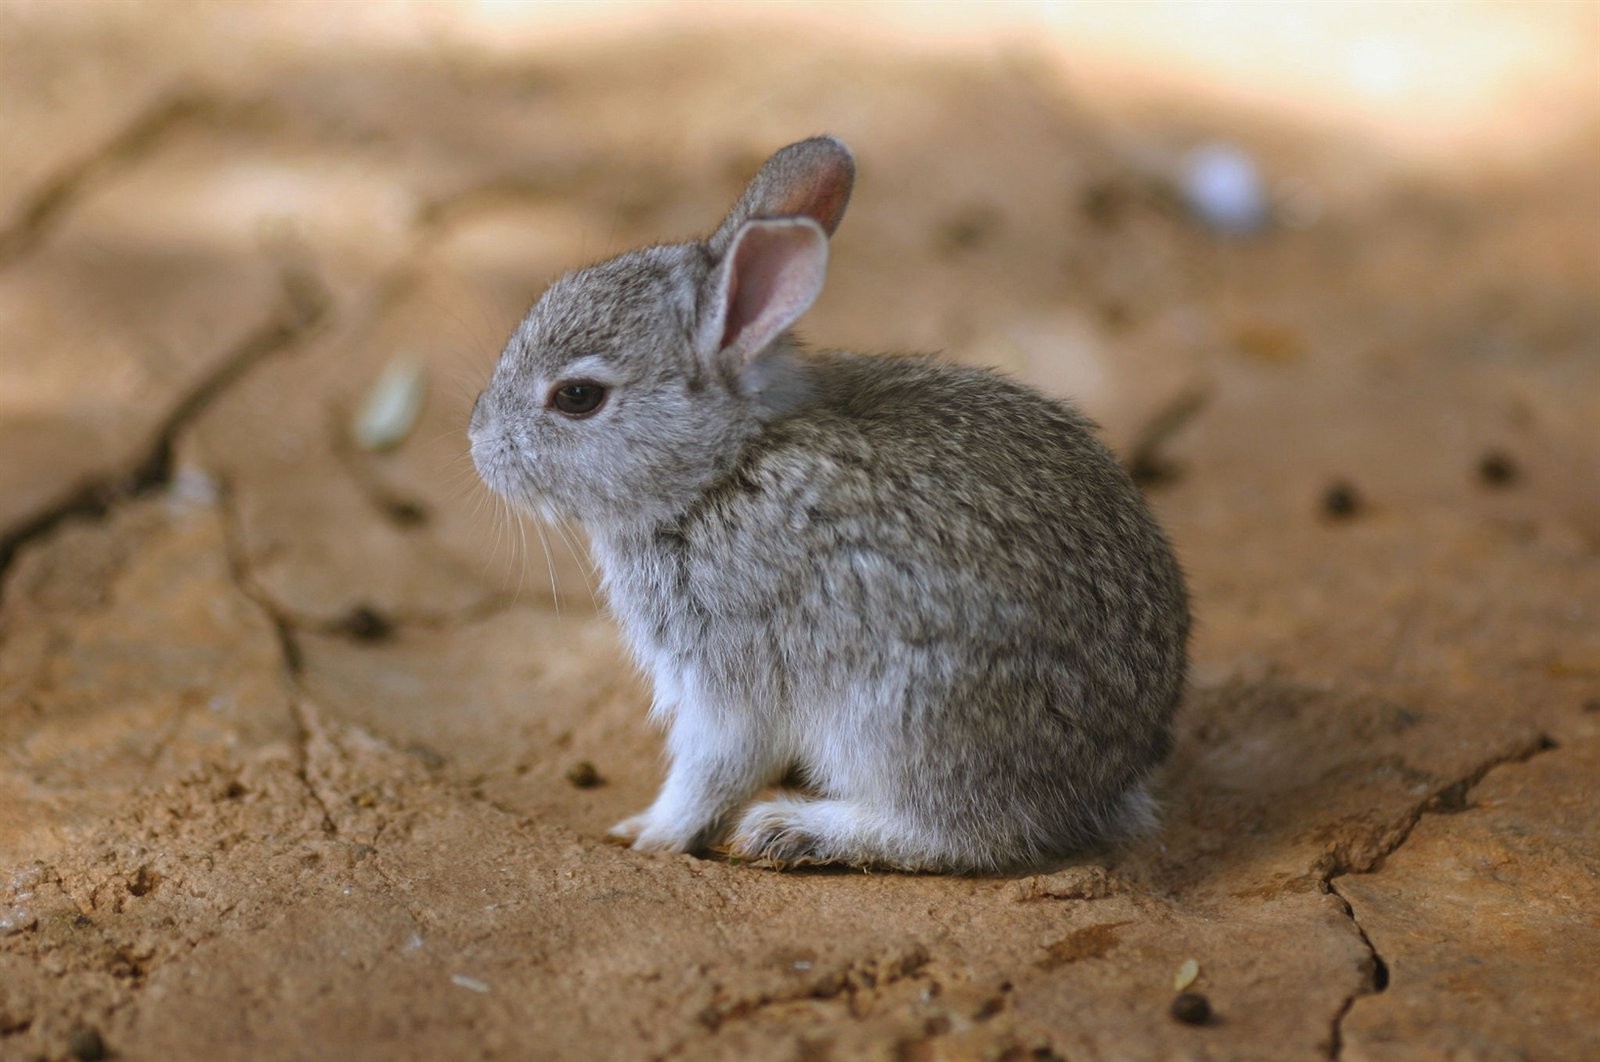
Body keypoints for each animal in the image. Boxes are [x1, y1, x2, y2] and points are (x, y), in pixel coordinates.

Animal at [469, 136, 1189, 873]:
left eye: (577, 397)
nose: (478, 444)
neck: (723, 468)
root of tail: (1106, 779)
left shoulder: (731, 673)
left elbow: (711, 769)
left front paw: (651, 834)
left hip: (899, 716)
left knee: (962, 833)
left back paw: (793, 829)